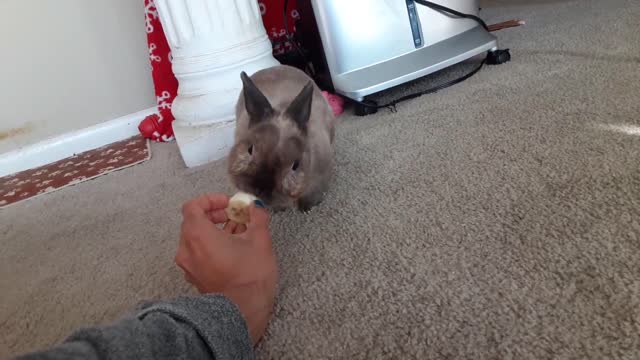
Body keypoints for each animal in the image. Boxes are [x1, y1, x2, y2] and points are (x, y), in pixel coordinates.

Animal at [226, 65, 336, 211]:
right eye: (250, 149)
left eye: (295, 165)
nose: (260, 189)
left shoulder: (320, 178)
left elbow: (313, 195)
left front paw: (306, 208)